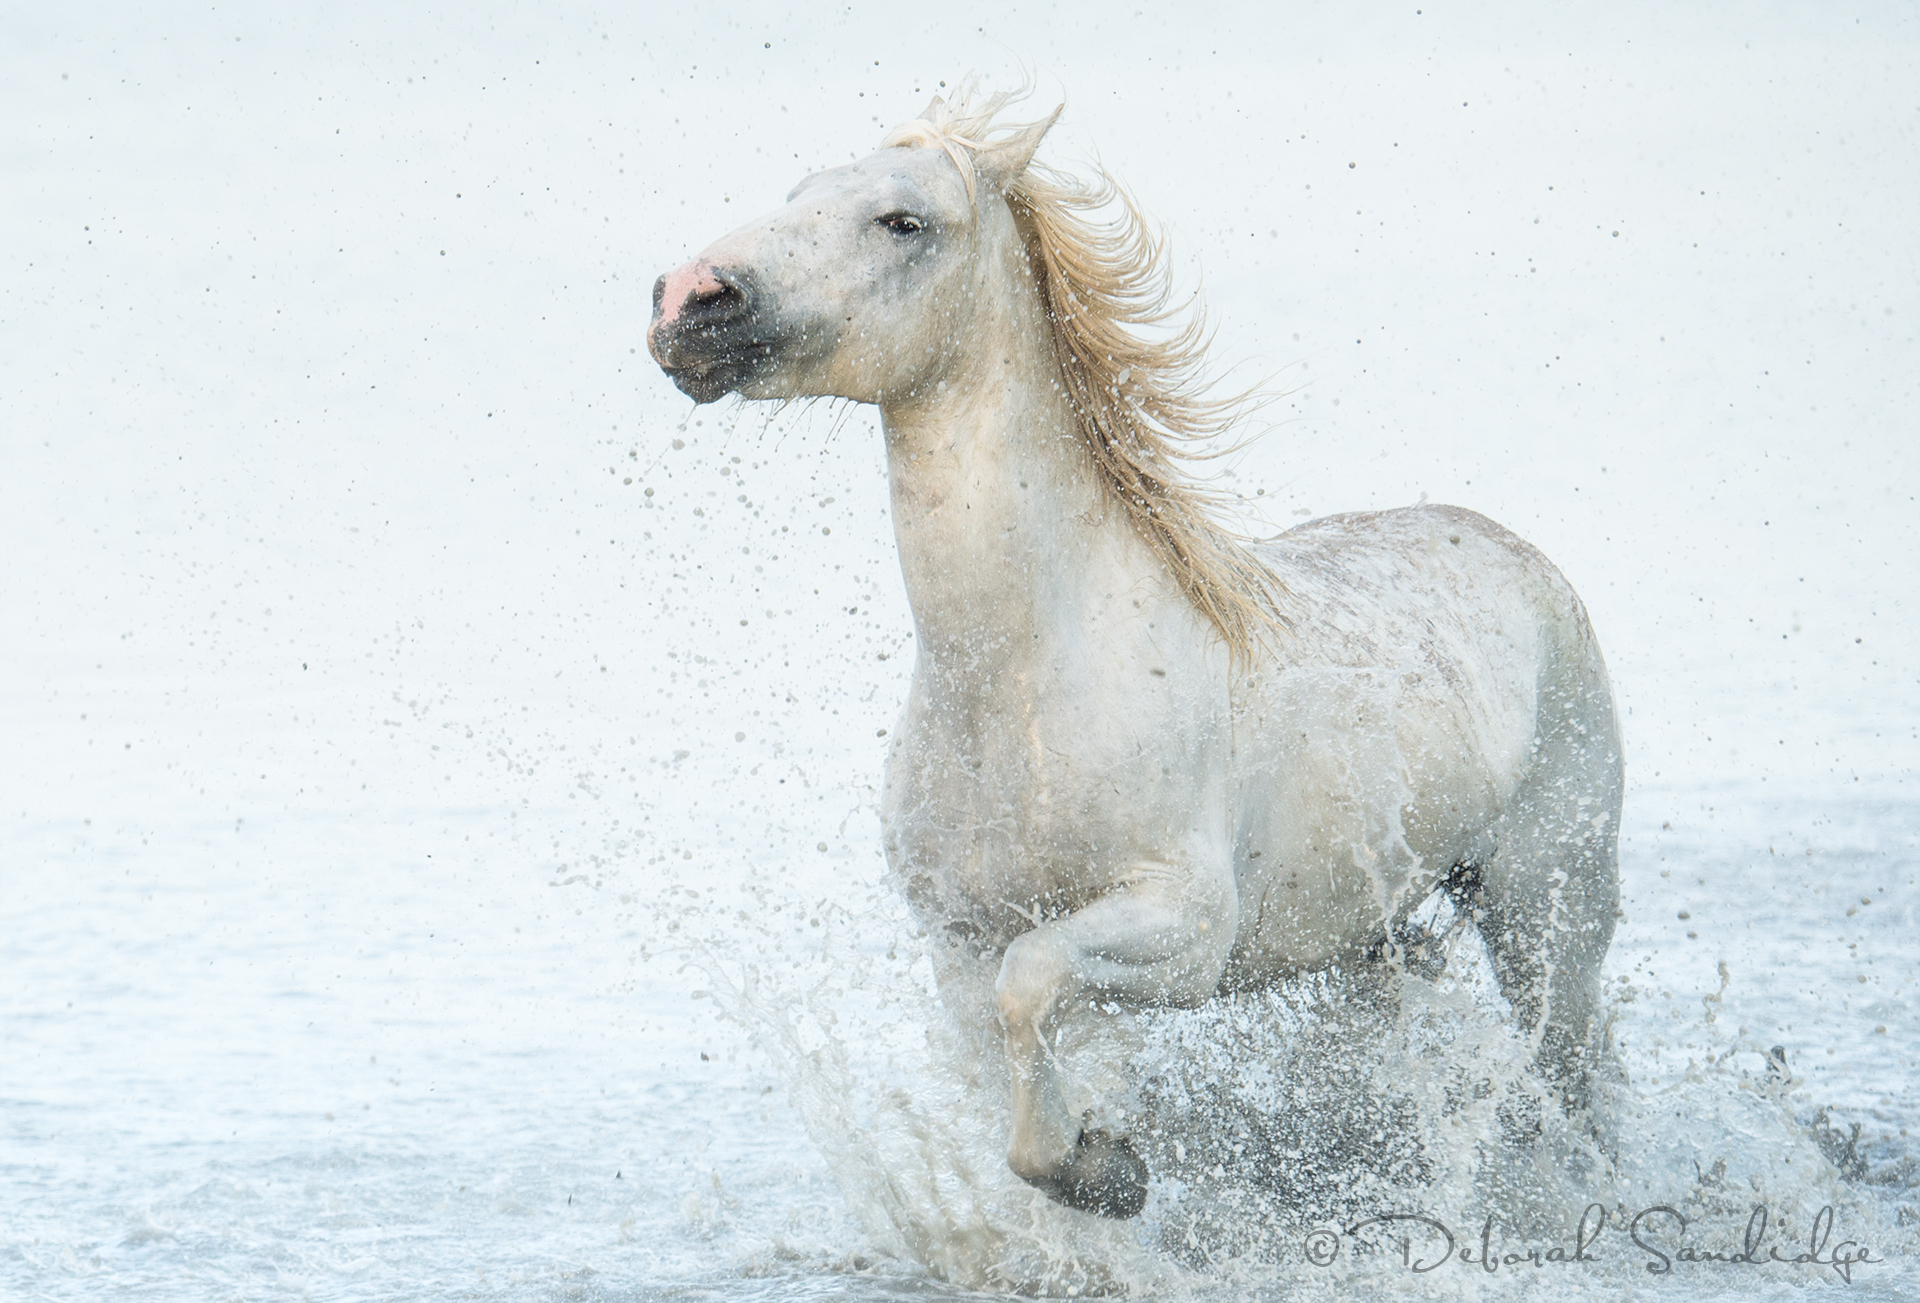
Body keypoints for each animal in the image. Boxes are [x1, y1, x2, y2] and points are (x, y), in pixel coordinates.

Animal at [648, 94, 1620, 1220]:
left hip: (1546, 911)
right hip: (1369, 937)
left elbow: (1031, 985)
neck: (1029, 683)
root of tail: (1527, 562)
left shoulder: (1182, 928)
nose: (689, 302)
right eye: (799, 189)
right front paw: (1102, 1159)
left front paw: (1105, 1171)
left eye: (902, 221)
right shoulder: (958, 946)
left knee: (1572, 1076)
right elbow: (1020, 1078)